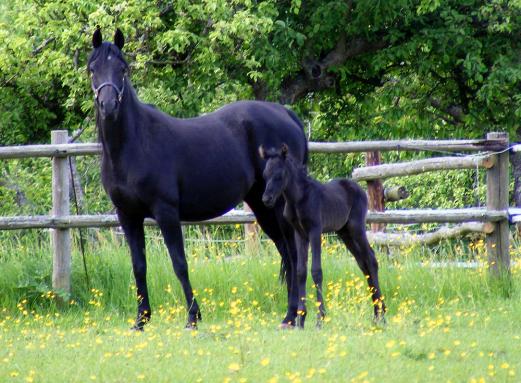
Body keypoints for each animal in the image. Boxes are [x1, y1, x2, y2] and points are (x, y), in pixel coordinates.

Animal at [260, 146, 386, 328]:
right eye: (265, 174)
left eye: (279, 175)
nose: (266, 199)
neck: (299, 198)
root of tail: (359, 189)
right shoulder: (299, 234)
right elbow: (301, 271)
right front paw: (301, 319)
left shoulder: (315, 231)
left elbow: (316, 271)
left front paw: (320, 319)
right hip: (344, 232)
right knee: (363, 263)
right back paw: (377, 314)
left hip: (356, 228)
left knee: (371, 259)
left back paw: (381, 315)